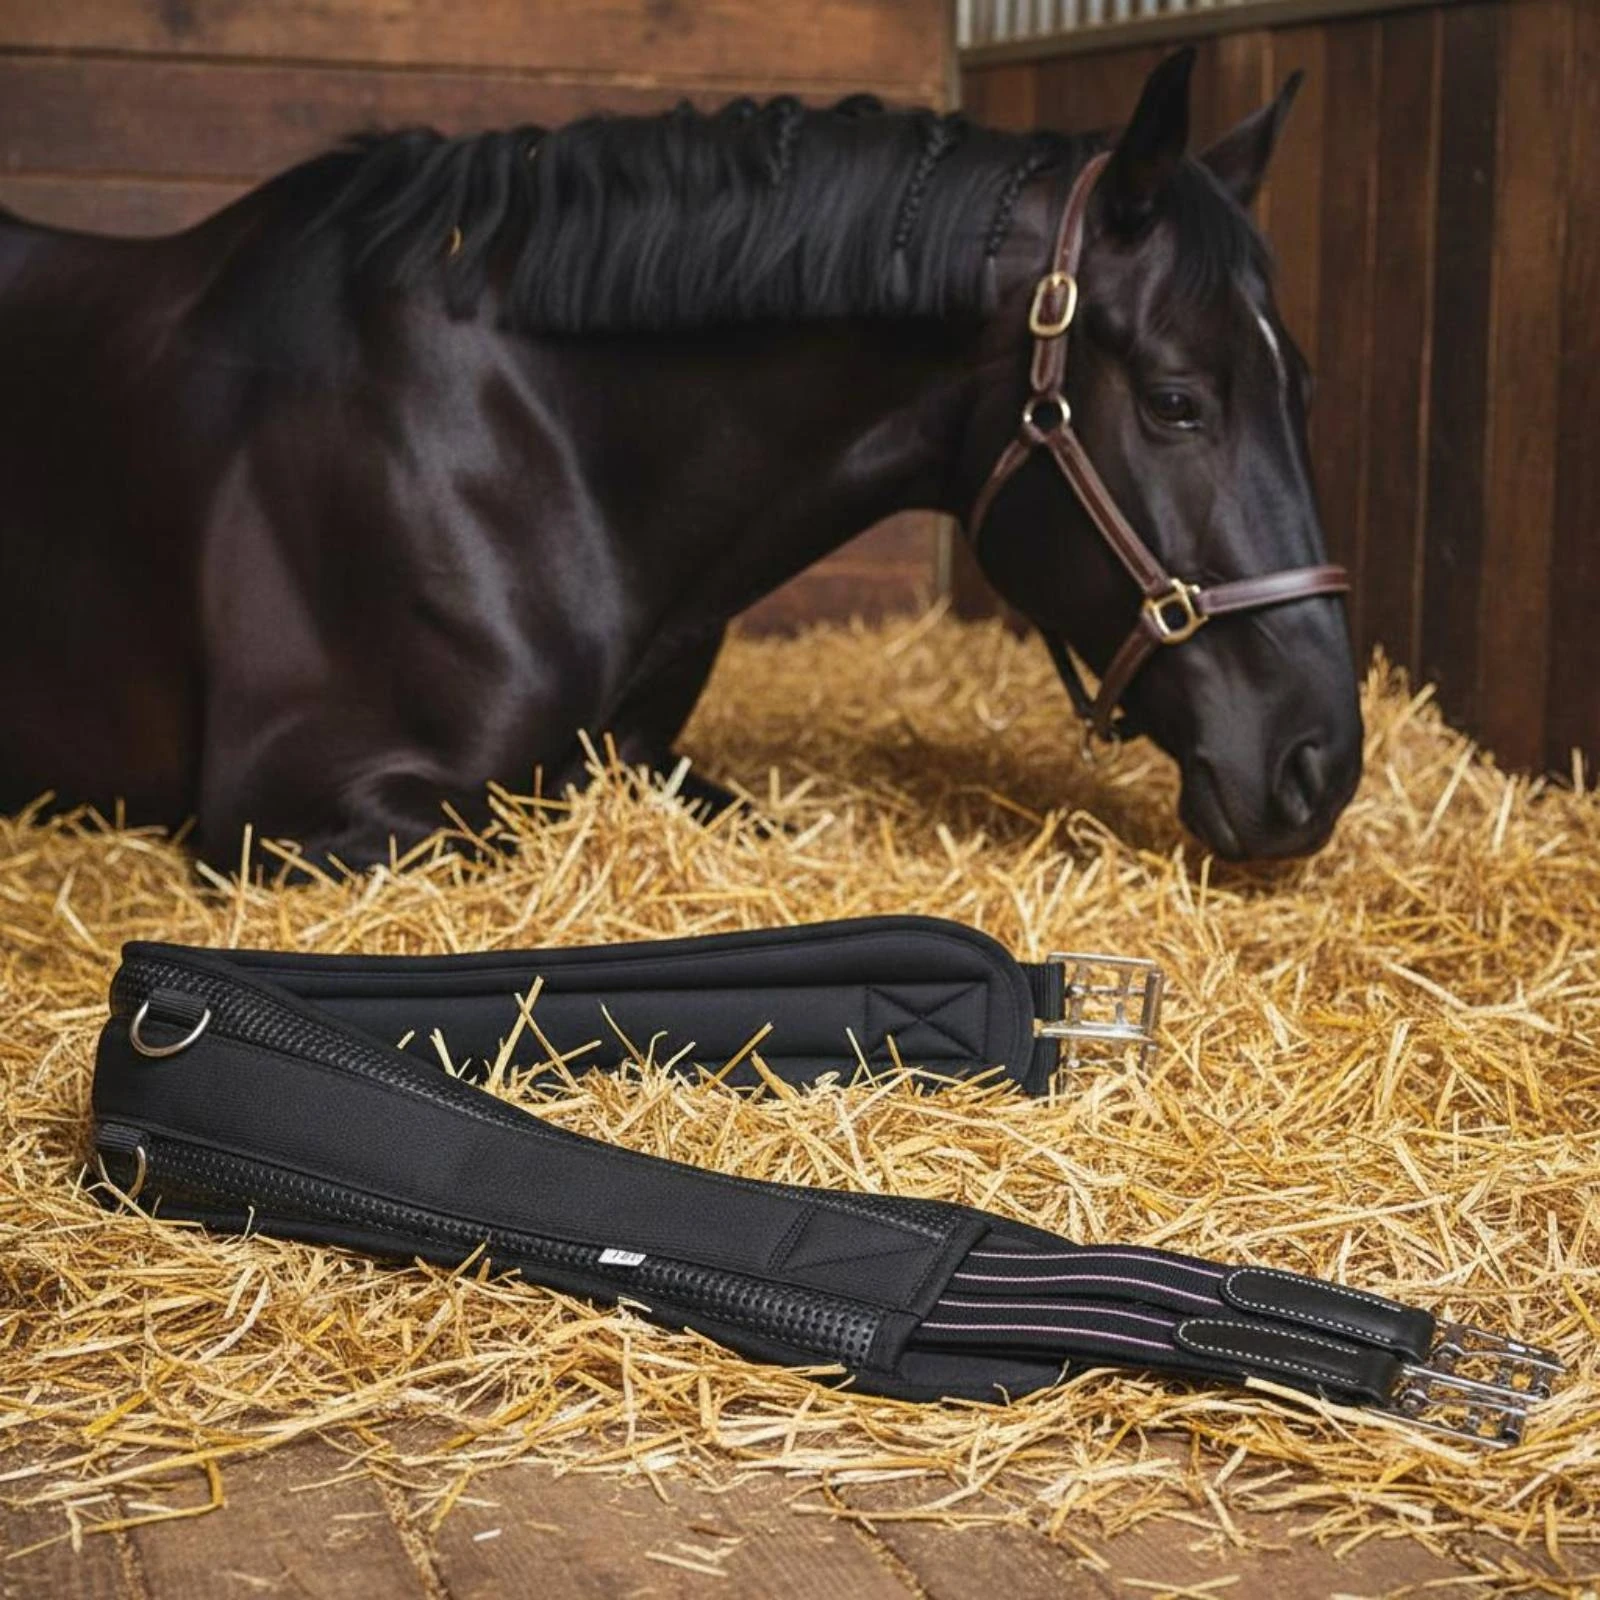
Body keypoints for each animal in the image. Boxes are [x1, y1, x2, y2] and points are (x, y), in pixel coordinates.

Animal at [0, 48, 1360, 870]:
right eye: (1178, 402)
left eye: (1301, 386)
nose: (1322, 765)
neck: (517, 443)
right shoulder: (296, 808)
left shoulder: (647, 759)